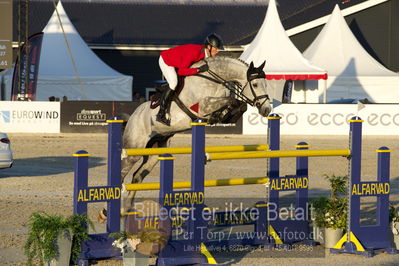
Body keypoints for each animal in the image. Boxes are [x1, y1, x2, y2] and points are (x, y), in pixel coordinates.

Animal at [117, 55, 270, 215]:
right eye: (255, 84)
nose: (267, 109)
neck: (213, 79)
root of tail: (133, 116)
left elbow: (239, 105)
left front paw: (224, 116)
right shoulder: (202, 105)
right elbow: (232, 100)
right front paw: (220, 114)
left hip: (155, 152)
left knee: (137, 176)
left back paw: (126, 209)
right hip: (134, 149)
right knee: (122, 174)